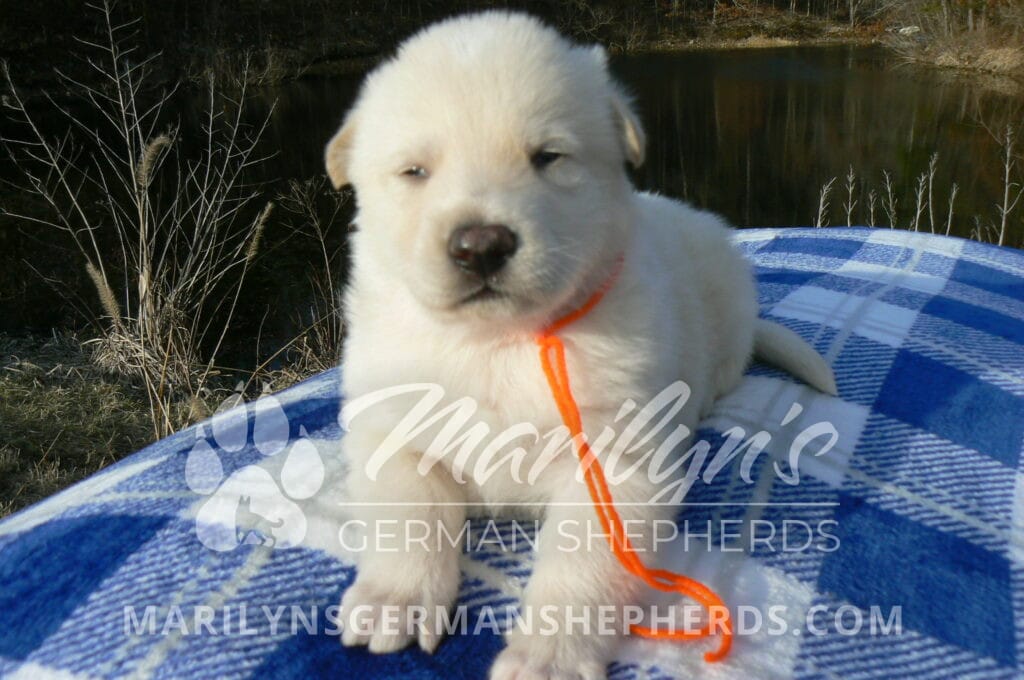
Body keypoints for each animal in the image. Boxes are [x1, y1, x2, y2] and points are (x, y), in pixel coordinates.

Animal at [324, 12, 836, 679]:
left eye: (548, 158)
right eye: (414, 171)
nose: (480, 245)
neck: (499, 342)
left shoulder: (614, 466)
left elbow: (580, 565)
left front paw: (550, 654)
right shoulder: (392, 428)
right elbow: (407, 516)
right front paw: (394, 602)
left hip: (728, 301)